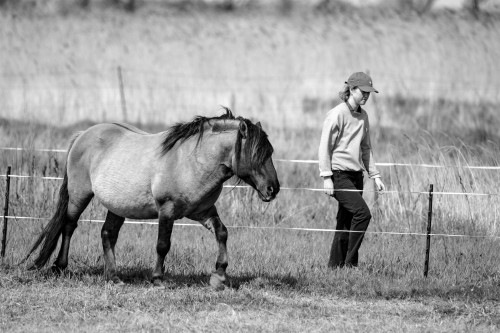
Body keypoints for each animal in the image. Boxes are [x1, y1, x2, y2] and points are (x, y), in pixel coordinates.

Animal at [23, 107, 280, 288]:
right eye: (257, 153)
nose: (273, 189)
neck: (190, 161)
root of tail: (82, 135)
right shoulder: (167, 210)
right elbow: (163, 245)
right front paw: (157, 278)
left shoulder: (203, 212)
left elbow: (222, 233)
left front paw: (220, 275)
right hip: (79, 195)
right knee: (69, 225)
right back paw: (59, 267)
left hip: (117, 206)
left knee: (107, 234)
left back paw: (113, 276)